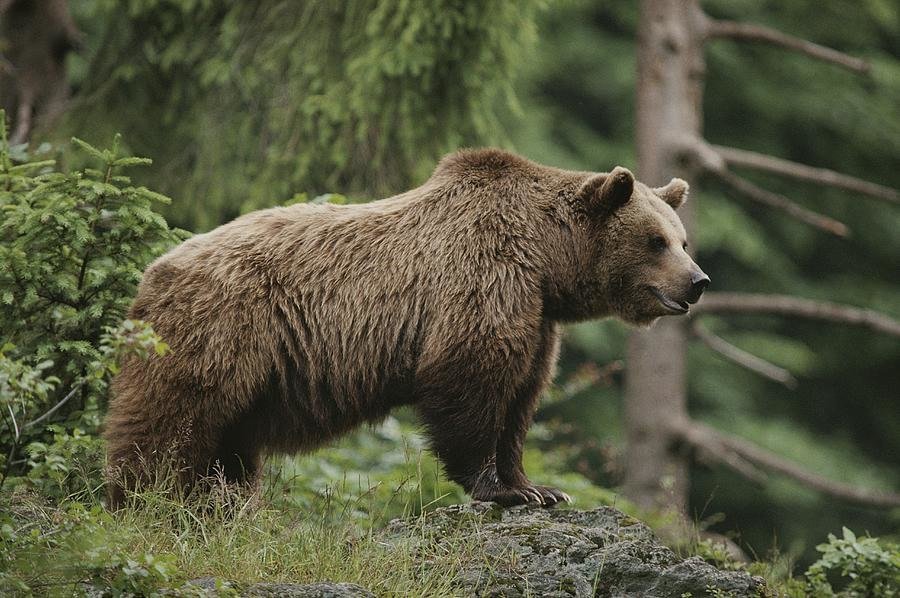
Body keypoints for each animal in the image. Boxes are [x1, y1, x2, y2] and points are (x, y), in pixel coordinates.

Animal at [104, 148, 708, 509]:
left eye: (682, 239)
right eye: (655, 240)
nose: (697, 281)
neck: (545, 260)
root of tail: (150, 271)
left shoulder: (538, 318)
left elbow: (520, 399)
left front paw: (538, 487)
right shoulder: (484, 277)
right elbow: (470, 379)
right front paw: (501, 490)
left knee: (226, 451)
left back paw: (219, 506)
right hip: (218, 331)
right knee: (170, 422)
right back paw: (141, 501)